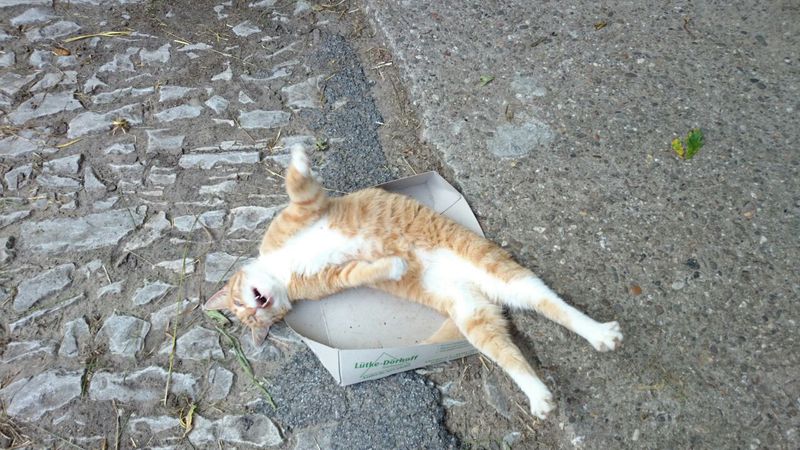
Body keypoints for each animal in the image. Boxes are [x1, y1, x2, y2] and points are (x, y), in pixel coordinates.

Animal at [204, 144, 623, 420]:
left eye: (242, 306)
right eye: (255, 321)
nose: (257, 309)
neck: (282, 270)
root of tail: (482, 287)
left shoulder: (305, 209)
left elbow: (296, 183)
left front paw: (297, 155)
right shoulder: (339, 274)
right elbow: (366, 270)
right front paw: (394, 265)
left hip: (497, 270)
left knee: (553, 303)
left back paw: (599, 332)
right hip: (474, 316)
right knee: (514, 349)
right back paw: (542, 392)